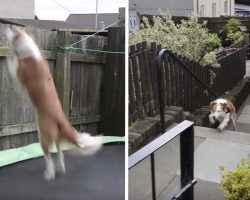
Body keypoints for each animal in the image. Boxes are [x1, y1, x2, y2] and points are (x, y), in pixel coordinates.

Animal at [5, 26, 102, 180]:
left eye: (13, 29)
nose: (7, 26)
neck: (26, 46)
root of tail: (60, 118)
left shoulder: (18, 73)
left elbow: (13, 63)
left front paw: (11, 56)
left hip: (43, 137)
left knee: (48, 156)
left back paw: (49, 173)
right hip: (56, 136)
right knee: (59, 151)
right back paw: (61, 166)